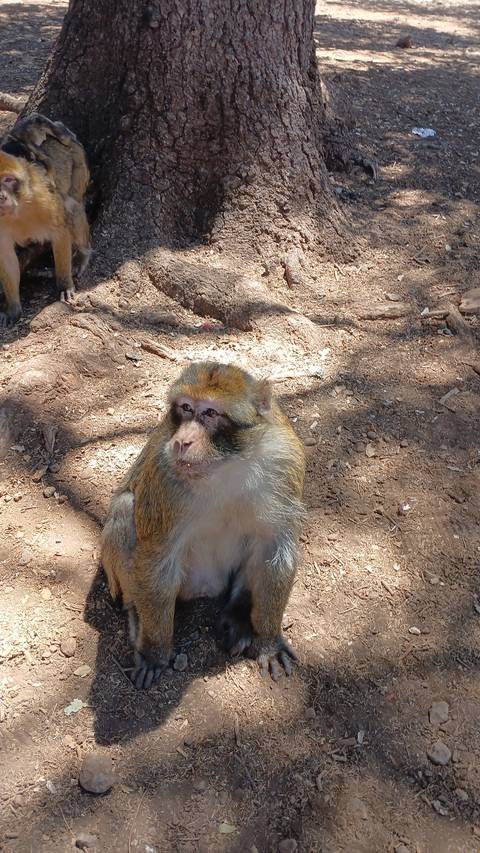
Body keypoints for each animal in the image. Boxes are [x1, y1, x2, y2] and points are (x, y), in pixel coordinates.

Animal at [0, 149, 90, 325]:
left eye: (8, 180)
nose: (1, 196)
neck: (15, 212)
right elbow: (6, 255)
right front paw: (12, 307)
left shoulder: (42, 198)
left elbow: (60, 231)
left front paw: (64, 285)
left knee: (70, 206)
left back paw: (83, 253)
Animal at [101, 362, 306, 689]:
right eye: (186, 408)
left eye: (210, 413)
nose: (183, 441)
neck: (225, 465)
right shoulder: (165, 478)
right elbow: (158, 558)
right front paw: (155, 652)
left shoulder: (283, 463)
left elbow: (275, 549)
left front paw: (269, 639)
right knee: (124, 509)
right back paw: (136, 613)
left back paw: (238, 614)